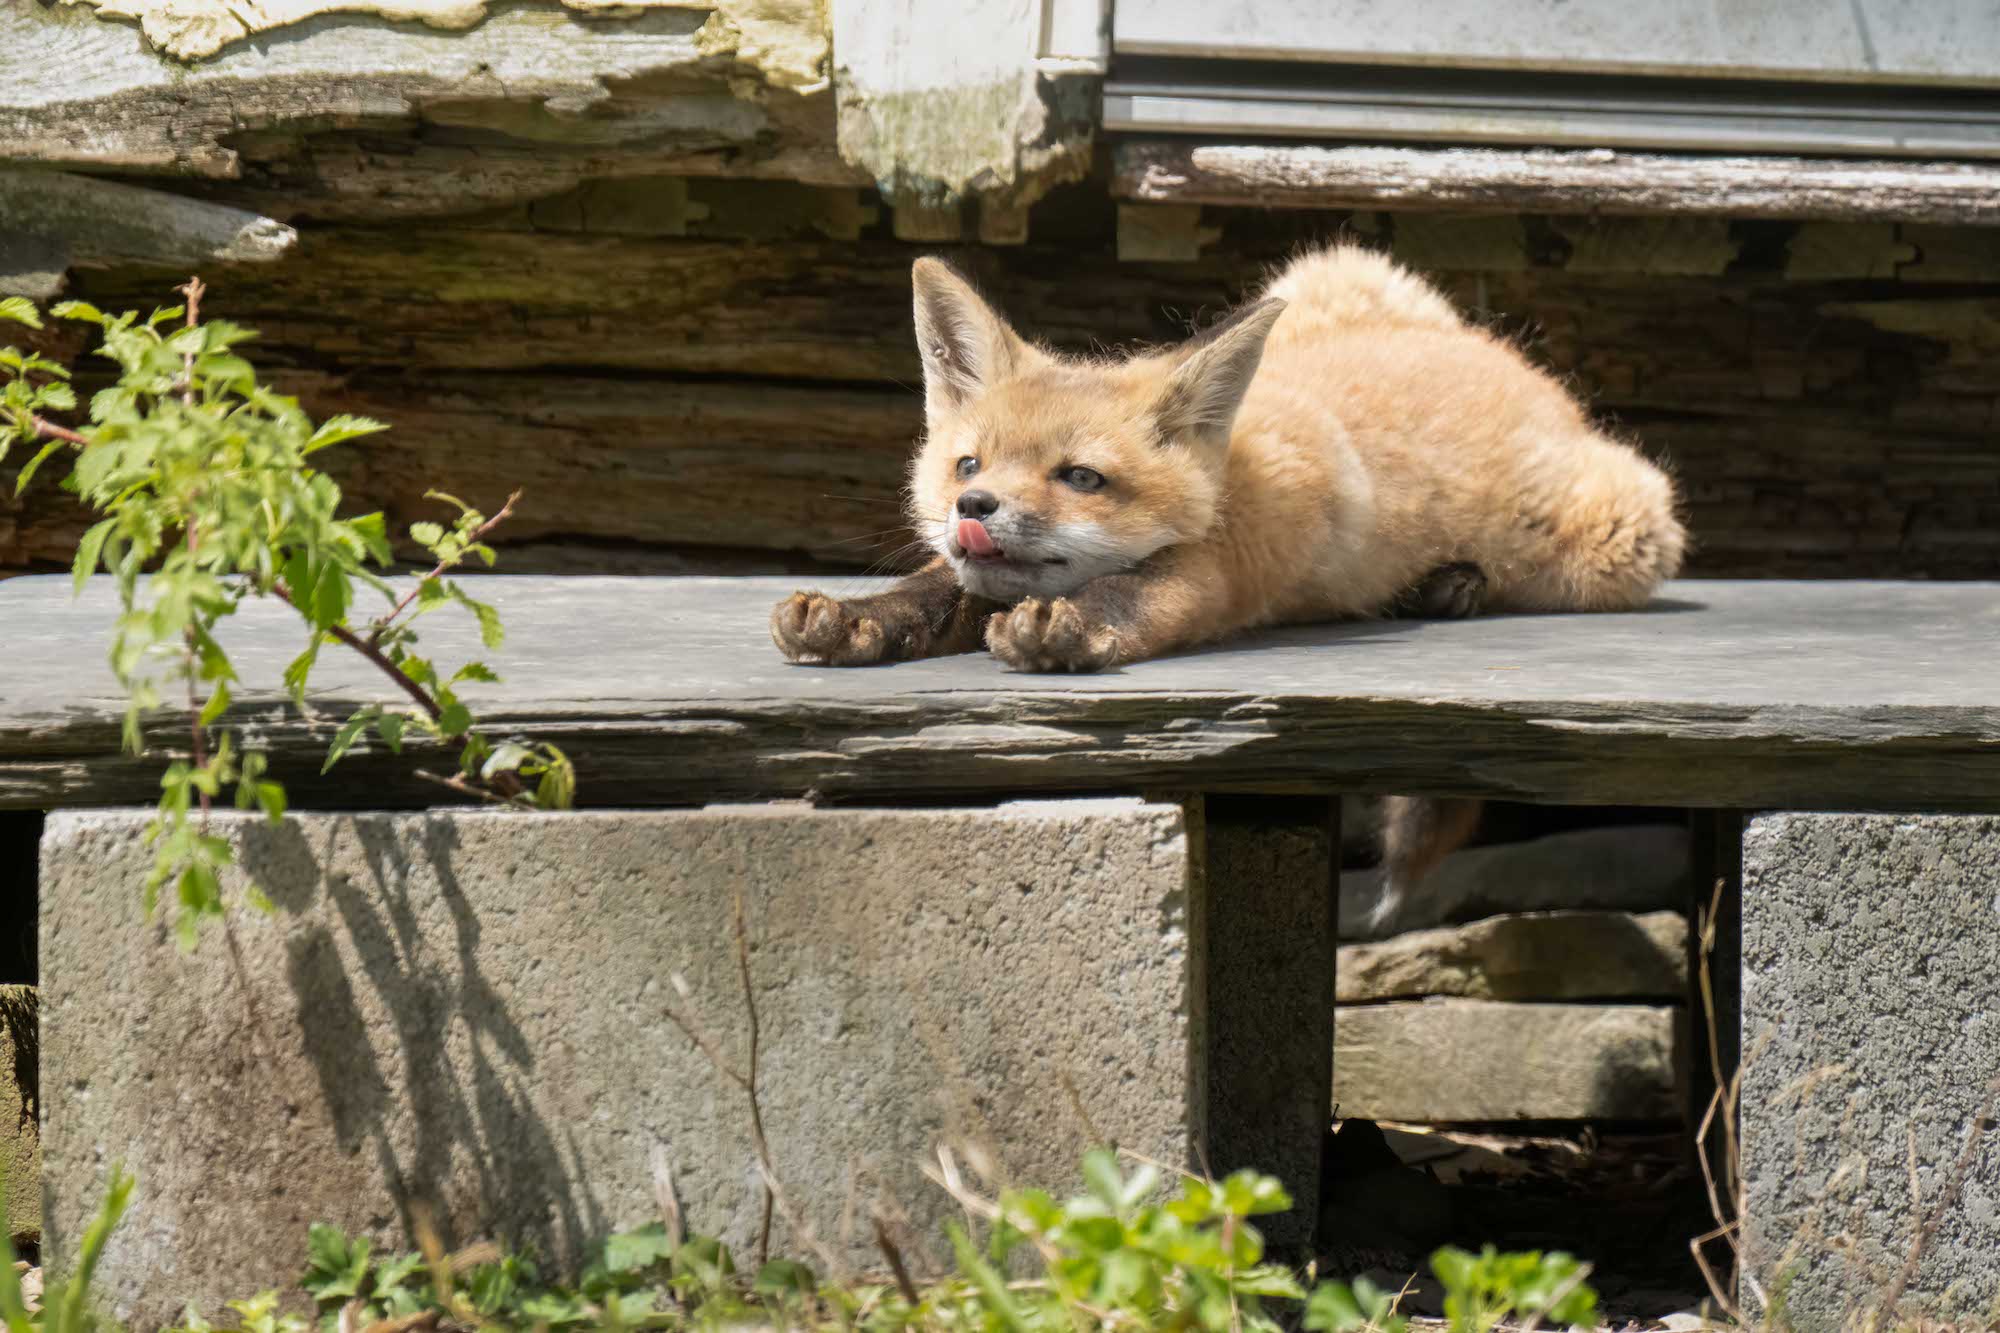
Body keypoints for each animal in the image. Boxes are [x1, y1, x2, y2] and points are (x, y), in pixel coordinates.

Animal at [770, 243, 1686, 912]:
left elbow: (1131, 593)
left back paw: (1454, 584)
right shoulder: (976, 573)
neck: (1228, 474)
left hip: (1619, 536)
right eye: (969, 463)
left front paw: (1064, 626)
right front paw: (854, 619)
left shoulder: (1222, 570)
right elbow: (928, 593)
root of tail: (1498, 352)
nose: (973, 506)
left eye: (1080, 477)